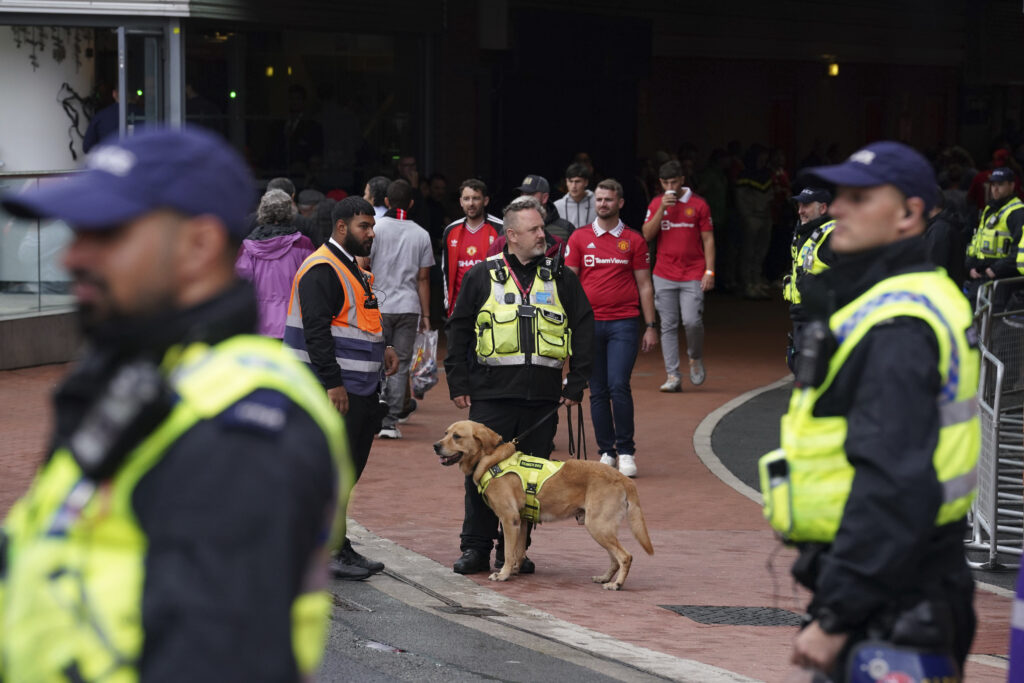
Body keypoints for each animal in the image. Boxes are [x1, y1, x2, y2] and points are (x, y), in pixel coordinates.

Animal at [434, 419, 655, 589]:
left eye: (457, 436)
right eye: (446, 433)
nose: (435, 446)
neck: (492, 461)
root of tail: (624, 479)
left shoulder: (509, 519)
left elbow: (508, 552)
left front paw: (503, 574)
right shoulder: (522, 521)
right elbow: (518, 551)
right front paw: (515, 570)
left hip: (598, 526)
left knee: (625, 556)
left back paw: (616, 584)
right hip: (602, 528)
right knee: (614, 558)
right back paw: (605, 578)